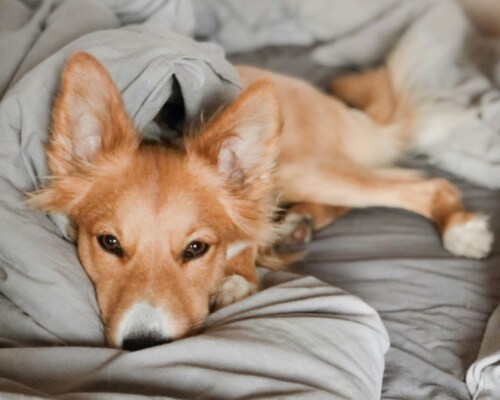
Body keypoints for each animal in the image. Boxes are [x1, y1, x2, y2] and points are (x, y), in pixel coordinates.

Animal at [30, 52, 492, 350]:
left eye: (196, 248)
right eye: (109, 243)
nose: (143, 344)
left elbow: (246, 237)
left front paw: (237, 278)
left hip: (300, 166)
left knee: (427, 185)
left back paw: (461, 229)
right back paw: (296, 225)